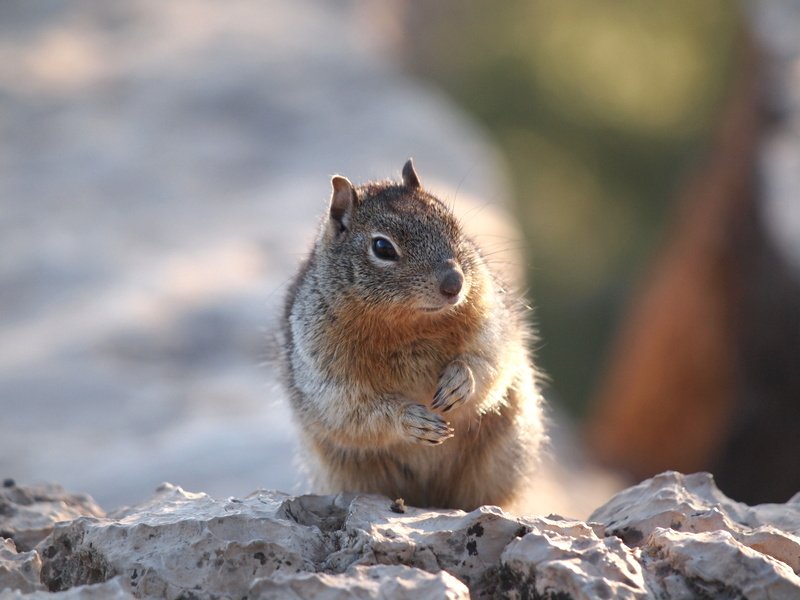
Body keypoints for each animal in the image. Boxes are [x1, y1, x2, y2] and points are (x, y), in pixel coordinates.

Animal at [278, 161, 548, 510]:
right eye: (382, 247)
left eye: (452, 224)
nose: (454, 284)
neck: (412, 323)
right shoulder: (328, 378)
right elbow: (358, 411)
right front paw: (410, 419)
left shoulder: (493, 321)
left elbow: (489, 361)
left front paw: (460, 381)